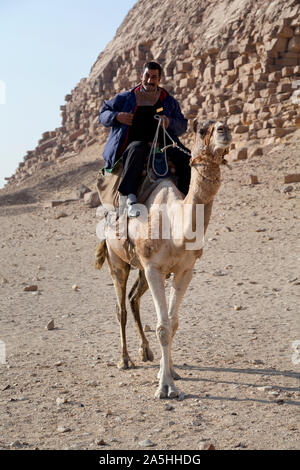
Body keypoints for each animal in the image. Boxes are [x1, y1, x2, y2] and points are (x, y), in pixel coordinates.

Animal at [95, 119, 231, 398]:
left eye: (226, 122)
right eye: (202, 129)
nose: (225, 130)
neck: (175, 225)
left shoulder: (185, 270)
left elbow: (173, 323)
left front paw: (170, 373)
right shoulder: (153, 267)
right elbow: (162, 326)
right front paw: (166, 387)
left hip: (141, 268)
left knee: (133, 298)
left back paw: (145, 351)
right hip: (118, 260)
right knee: (121, 307)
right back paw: (124, 359)